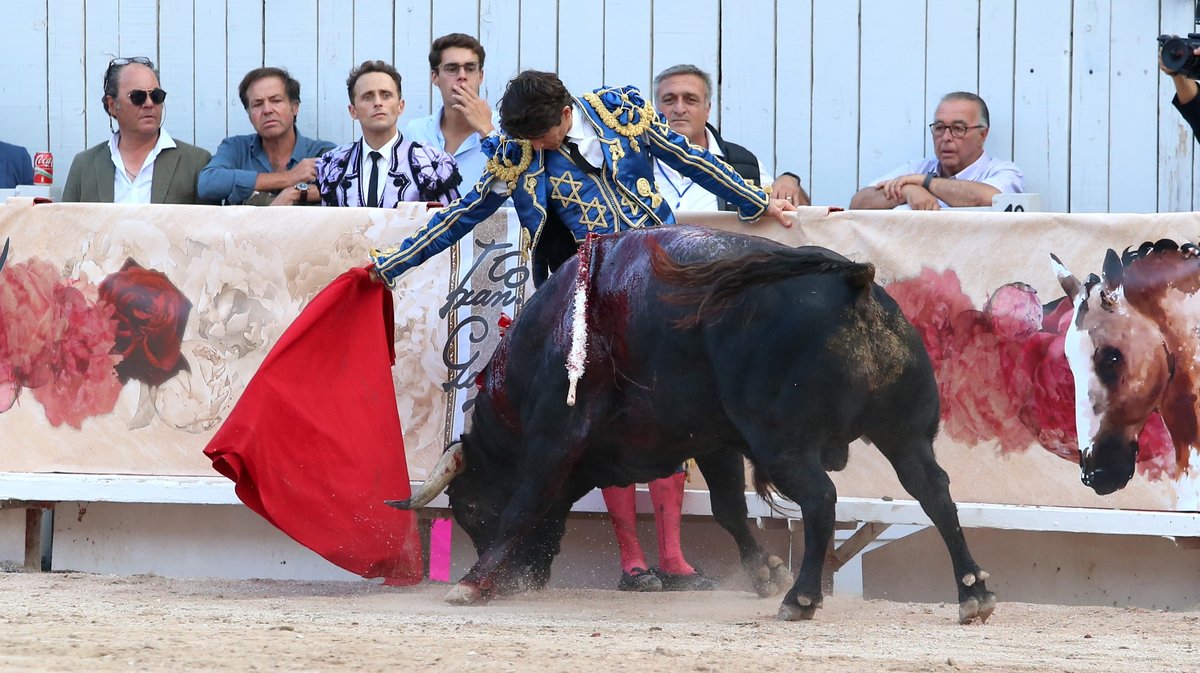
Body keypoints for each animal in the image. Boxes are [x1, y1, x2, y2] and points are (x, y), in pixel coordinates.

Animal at [391, 223, 993, 623]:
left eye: (470, 509)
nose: (524, 582)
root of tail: (853, 279)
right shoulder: (711, 439)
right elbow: (728, 508)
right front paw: (762, 571)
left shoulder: (553, 438)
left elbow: (524, 504)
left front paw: (470, 584)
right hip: (905, 434)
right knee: (934, 491)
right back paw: (972, 593)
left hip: (783, 442)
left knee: (822, 499)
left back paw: (801, 598)